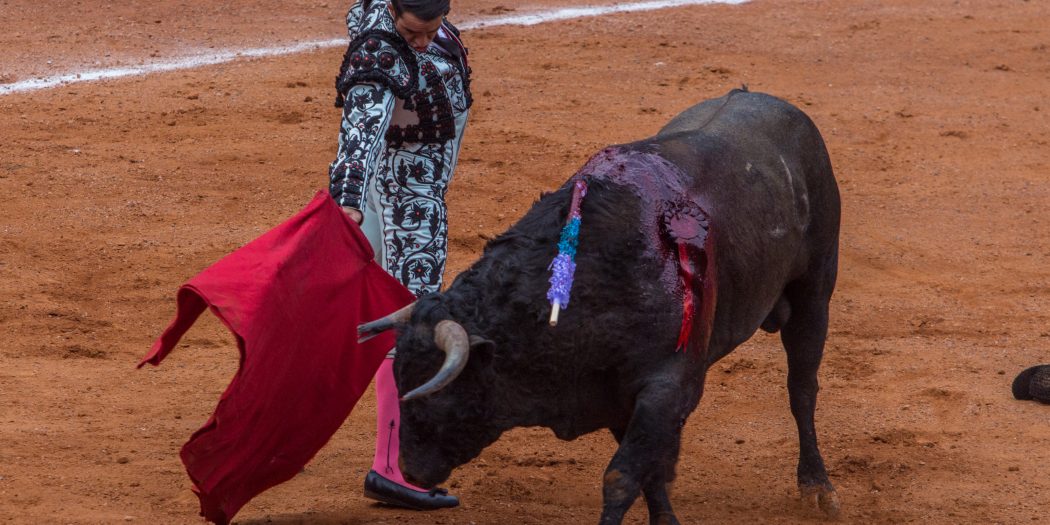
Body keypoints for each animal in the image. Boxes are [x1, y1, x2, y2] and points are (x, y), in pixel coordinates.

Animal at [365, 88, 839, 522]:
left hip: (815, 293)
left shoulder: (668, 386)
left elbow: (622, 477)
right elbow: (650, 473)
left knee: (802, 389)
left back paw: (818, 487)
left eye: (435, 390)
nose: (410, 470)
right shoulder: (614, 395)